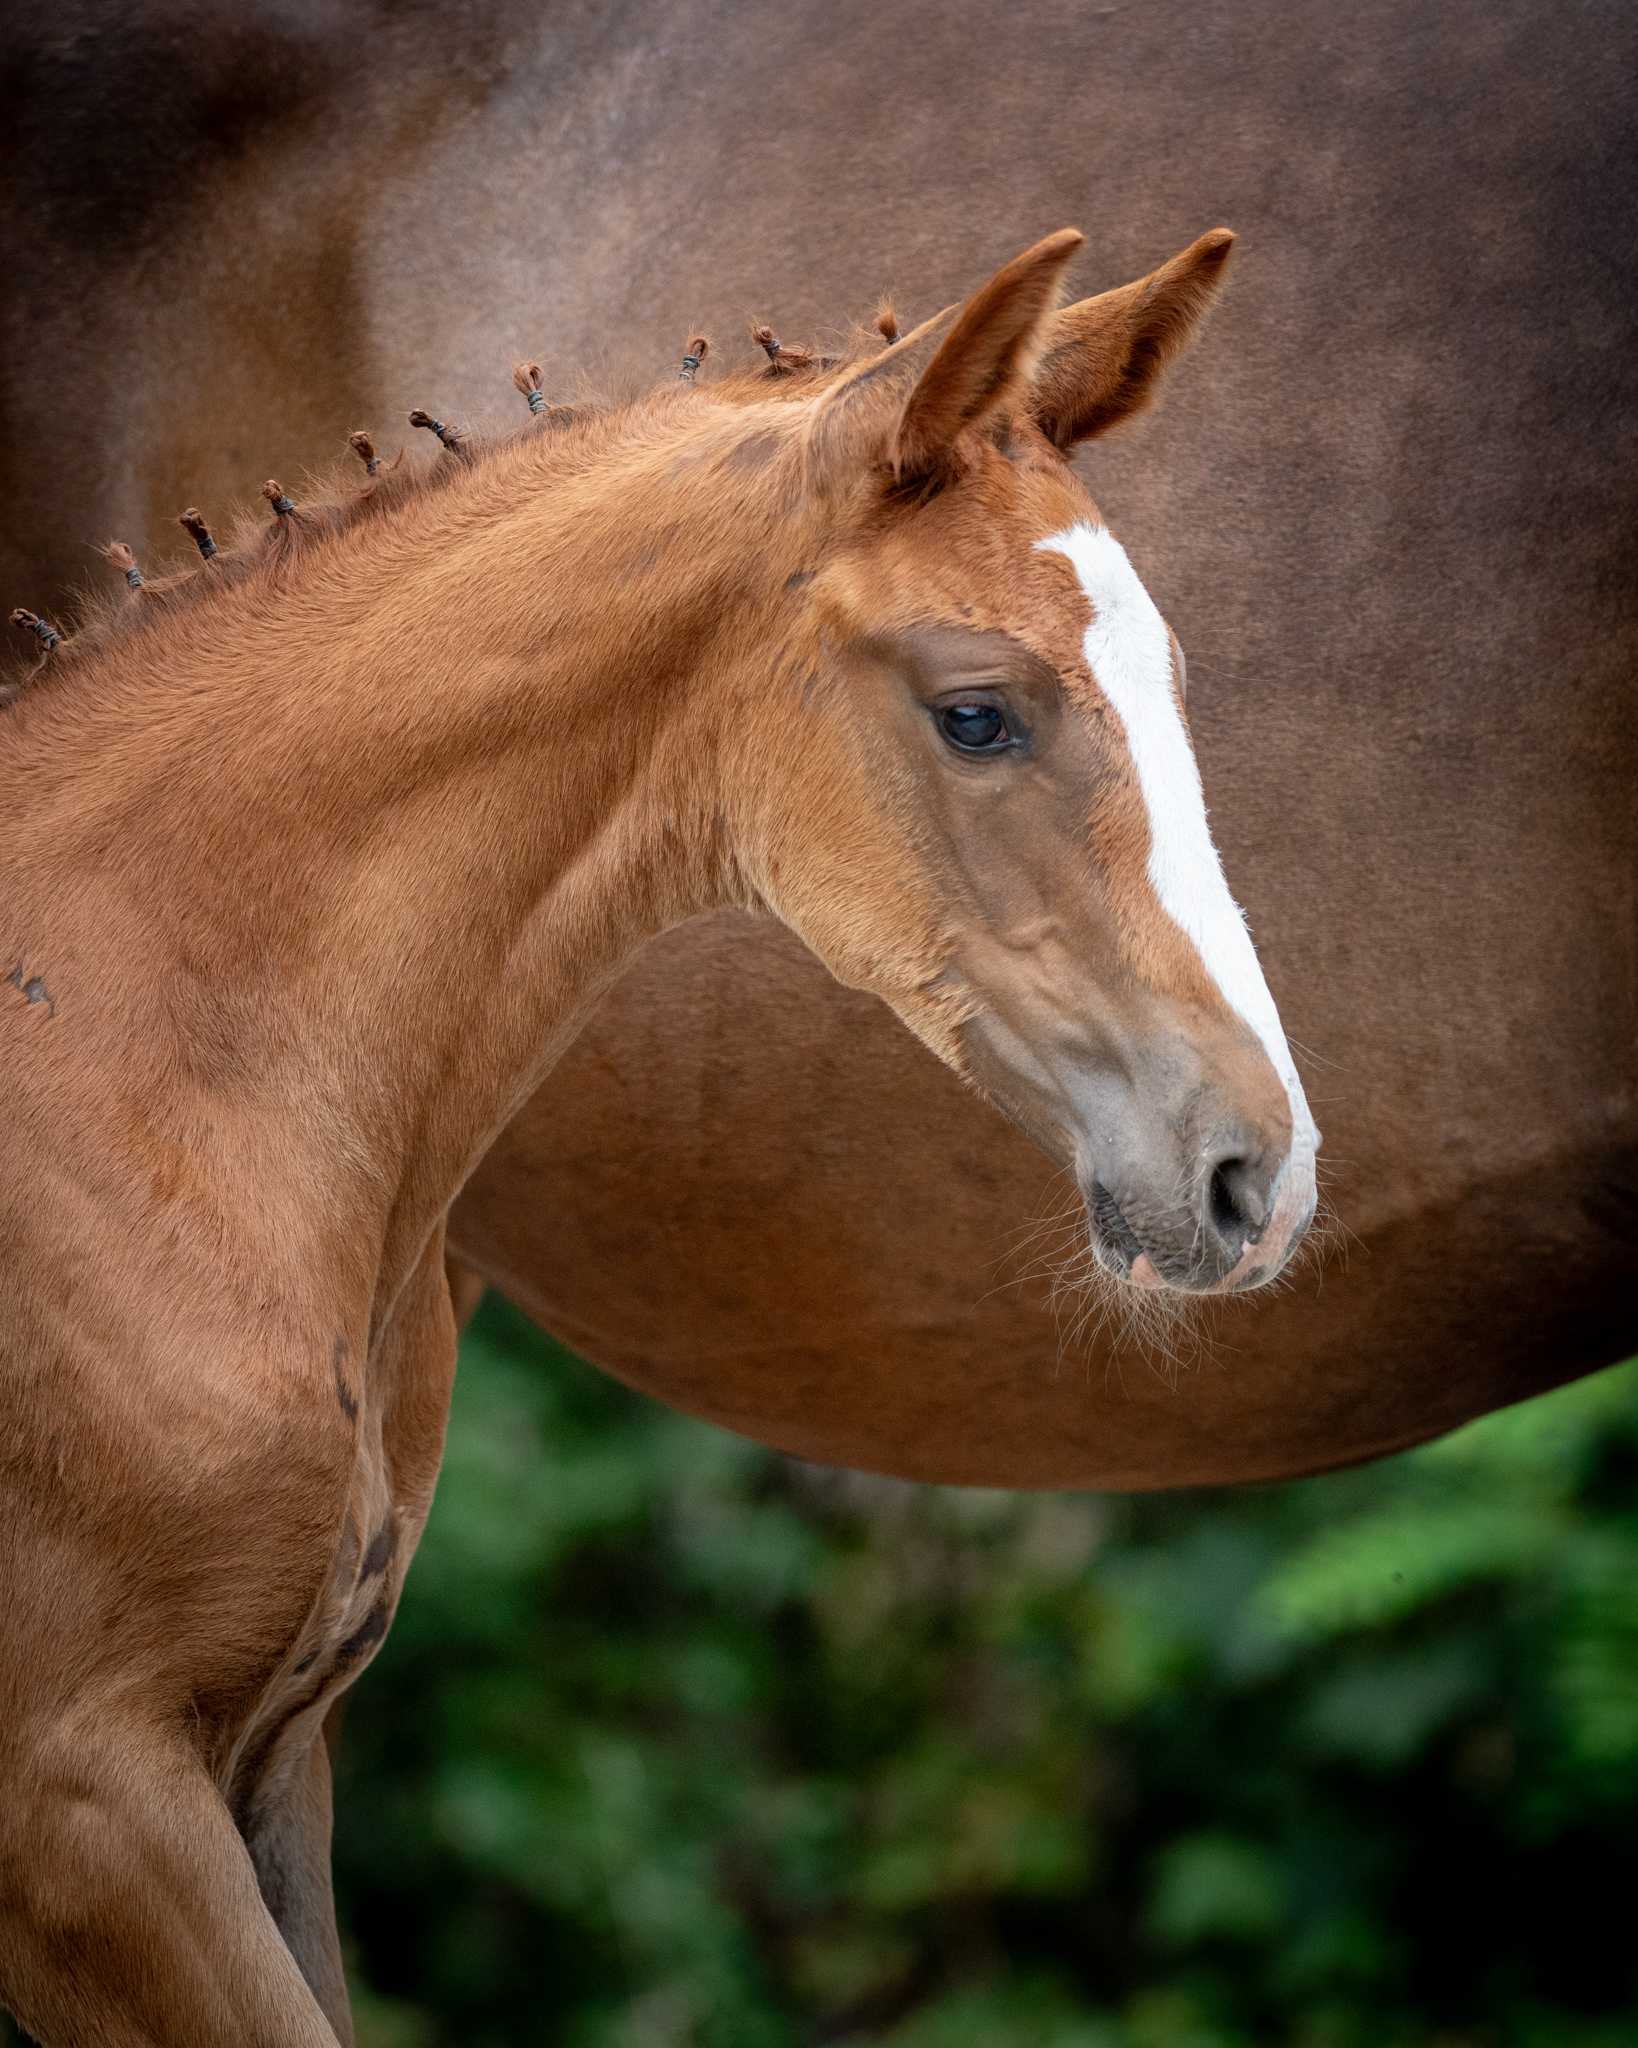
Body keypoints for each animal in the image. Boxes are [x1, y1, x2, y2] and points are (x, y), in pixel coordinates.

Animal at [0, 229, 1306, 2042]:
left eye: (1170, 678)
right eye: (977, 712)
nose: (1255, 1171)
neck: (141, 1070)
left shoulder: (272, 1761)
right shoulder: (85, 1795)